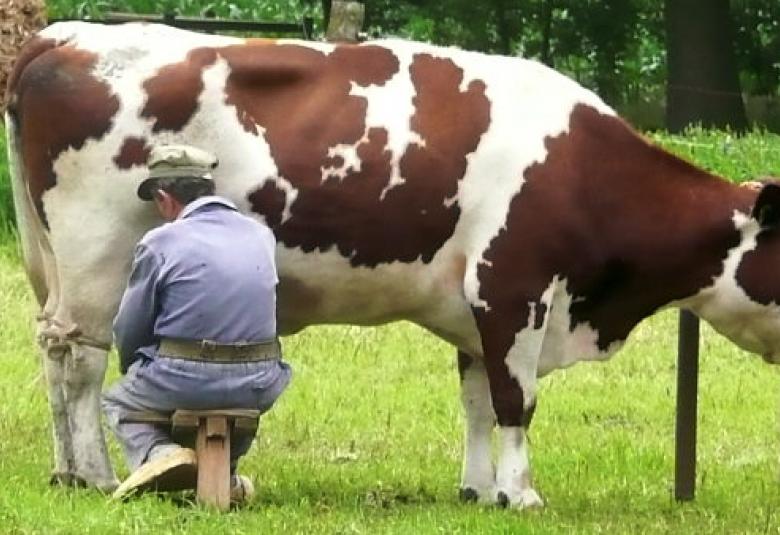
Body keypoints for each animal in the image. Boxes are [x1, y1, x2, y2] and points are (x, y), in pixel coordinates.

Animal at [5, 21, 780, 509]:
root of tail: (65, 35)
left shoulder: (474, 306)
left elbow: (476, 399)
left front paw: (478, 490)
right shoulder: (513, 285)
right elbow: (515, 400)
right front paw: (522, 492)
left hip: (62, 269)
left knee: (53, 353)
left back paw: (66, 473)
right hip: (98, 257)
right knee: (80, 363)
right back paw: (95, 473)